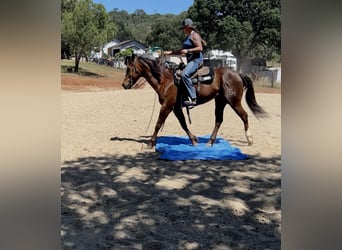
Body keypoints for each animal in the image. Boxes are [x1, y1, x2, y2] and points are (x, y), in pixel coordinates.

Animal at [121, 53, 268, 148]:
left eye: (129, 68)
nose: (124, 84)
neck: (166, 80)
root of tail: (237, 74)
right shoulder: (176, 108)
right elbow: (183, 124)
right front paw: (194, 140)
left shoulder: (167, 106)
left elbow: (158, 123)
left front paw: (151, 143)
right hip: (220, 101)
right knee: (219, 120)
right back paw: (210, 142)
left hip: (234, 101)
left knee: (244, 115)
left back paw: (249, 139)